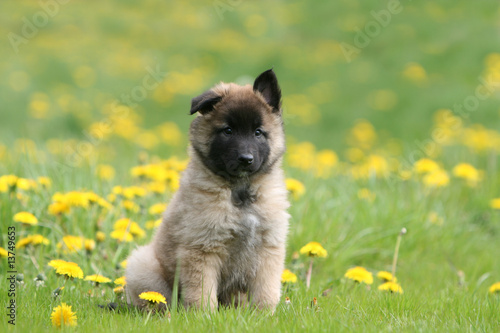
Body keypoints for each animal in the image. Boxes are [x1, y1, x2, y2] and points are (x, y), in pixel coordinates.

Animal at [125, 68, 290, 310]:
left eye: (258, 132)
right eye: (228, 131)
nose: (246, 159)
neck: (239, 192)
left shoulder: (268, 248)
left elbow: (266, 290)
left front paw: (264, 314)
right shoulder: (202, 248)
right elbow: (201, 291)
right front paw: (204, 314)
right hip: (145, 266)